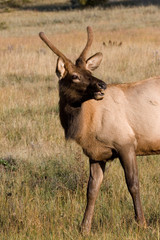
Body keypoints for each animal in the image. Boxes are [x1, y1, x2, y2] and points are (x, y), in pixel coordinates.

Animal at [39, 26, 160, 234]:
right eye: (75, 76)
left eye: (89, 70)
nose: (102, 85)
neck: (87, 125)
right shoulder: (95, 153)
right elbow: (92, 189)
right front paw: (84, 228)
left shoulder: (126, 142)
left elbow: (133, 184)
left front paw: (142, 223)